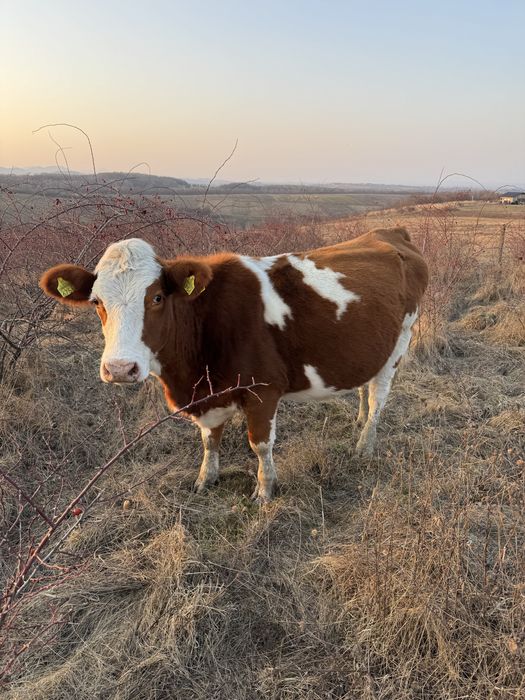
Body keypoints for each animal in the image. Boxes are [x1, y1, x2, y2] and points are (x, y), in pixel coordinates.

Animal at [40, 227, 428, 503]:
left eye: (157, 297)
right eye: (96, 302)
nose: (120, 368)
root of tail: (388, 232)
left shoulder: (264, 390)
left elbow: (260, 444)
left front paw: (265, 490)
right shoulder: (209, 397)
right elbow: (210, 439)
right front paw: (205, 478)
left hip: (400, 342)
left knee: (379, 397)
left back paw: (365, 444)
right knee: (365, 387)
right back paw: (359, 421)